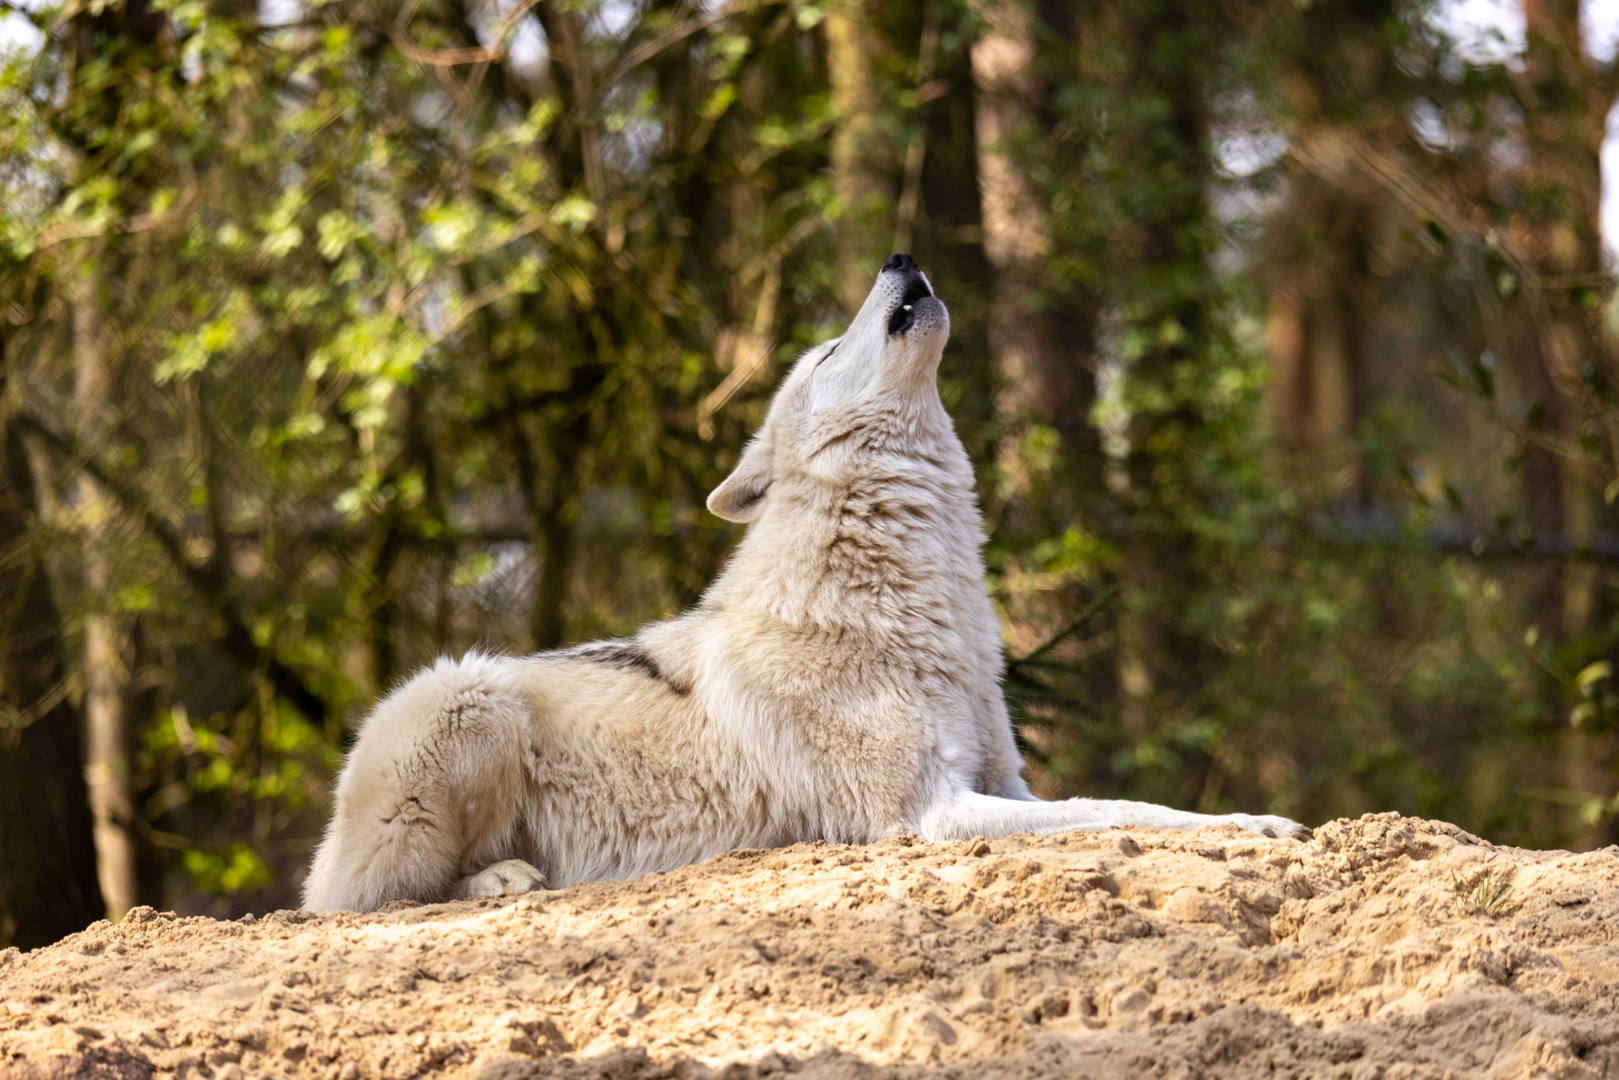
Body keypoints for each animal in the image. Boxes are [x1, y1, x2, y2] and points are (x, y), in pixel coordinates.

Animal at [304, 257, 1308, 919]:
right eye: (828, 352)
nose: (899, 256)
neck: (914, 605)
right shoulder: (927, 813)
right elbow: (1118, 813)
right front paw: (1258, 823)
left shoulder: (1002, 783)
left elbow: (1119, 806)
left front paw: (1249, 819)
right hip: (468, 696)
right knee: (362, 898)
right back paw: (499, 880)